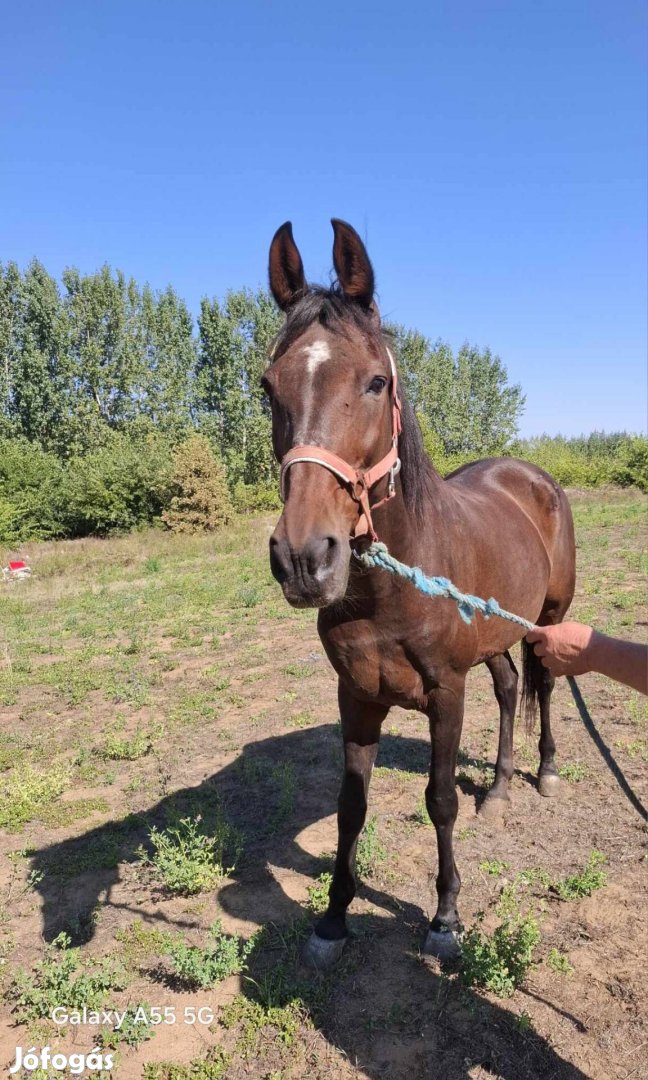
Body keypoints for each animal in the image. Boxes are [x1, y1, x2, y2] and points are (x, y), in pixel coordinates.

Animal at [263, 214, 578, 967]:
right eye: (267, 386)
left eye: (377, 382)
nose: (304, 558)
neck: (388, 592)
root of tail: (532, 477)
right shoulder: (356, 695)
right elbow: (351, 806)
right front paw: (332, 918)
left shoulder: (445, 692)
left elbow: (439, 800)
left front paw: (445, 917)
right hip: (498, 632)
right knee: (510, 688)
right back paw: (499, 787)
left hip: (549, 620)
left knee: (544, 686)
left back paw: (545, 772)